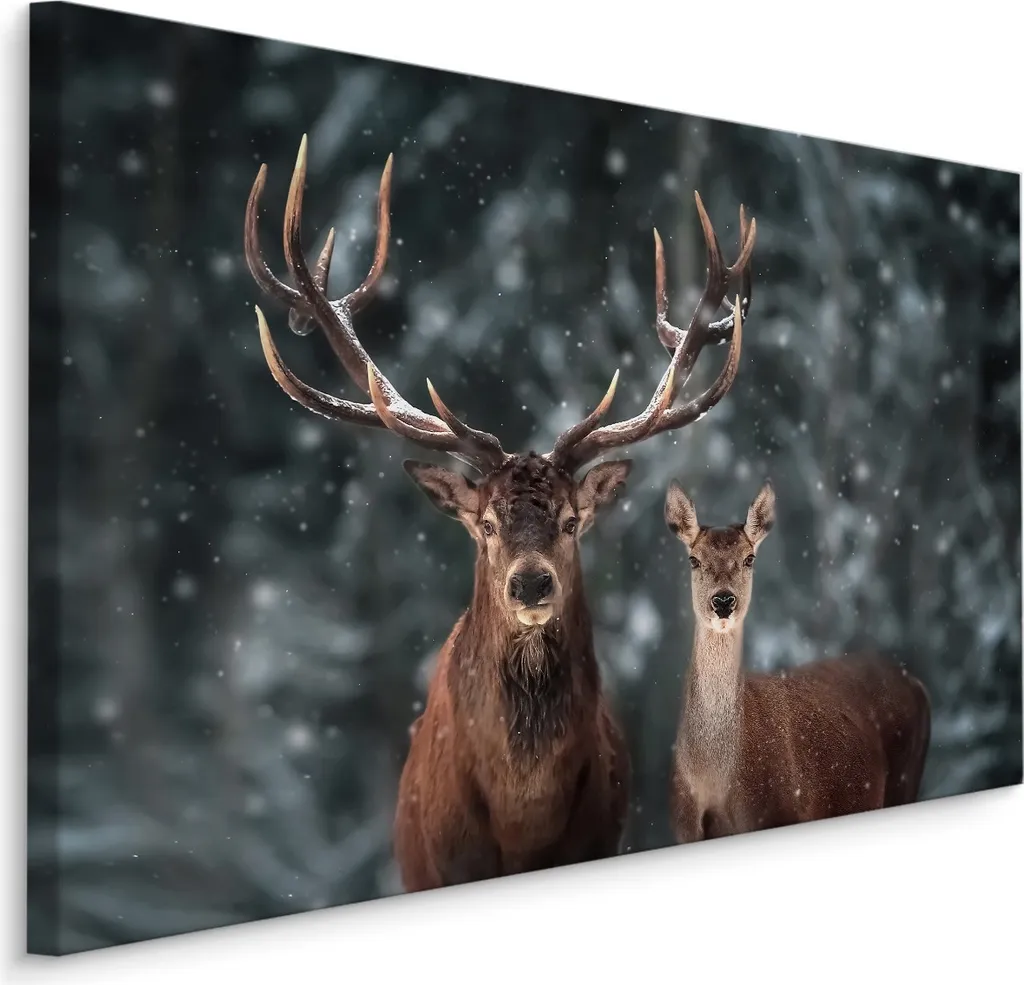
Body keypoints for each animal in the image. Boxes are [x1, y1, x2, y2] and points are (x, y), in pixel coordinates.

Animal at [664, 479, 932, 844]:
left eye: (749, 558)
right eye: (693, 559)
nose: (723, 601)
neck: (715, 778)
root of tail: (916, 683)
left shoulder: (778, 811)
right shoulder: (684, 828)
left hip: (906, 780)